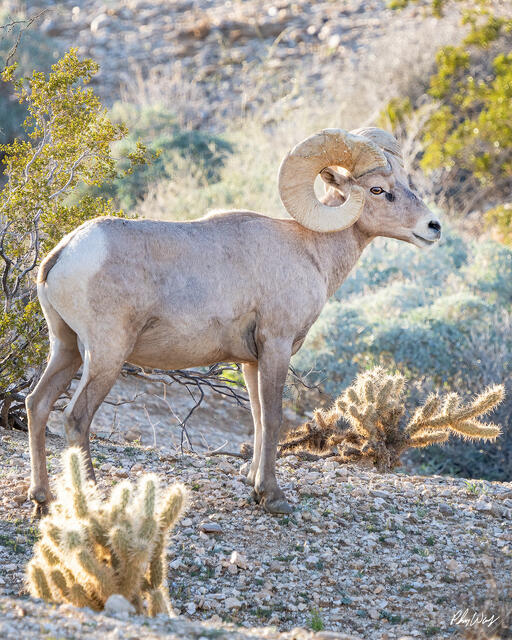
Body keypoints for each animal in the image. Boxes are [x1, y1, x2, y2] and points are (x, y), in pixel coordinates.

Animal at [26, 127, 441, 516]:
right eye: (378, 189)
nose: (433, 226)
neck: (310, 250)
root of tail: (63, 253)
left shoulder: (250, 360)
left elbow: (256, 418)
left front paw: (253, 485)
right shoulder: (276, 346)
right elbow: (272, 419)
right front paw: (272, 497)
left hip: (65, 349)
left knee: (37, 404)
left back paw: (41, 499)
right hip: (106, 356)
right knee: (76, 418)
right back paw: (91, 500)